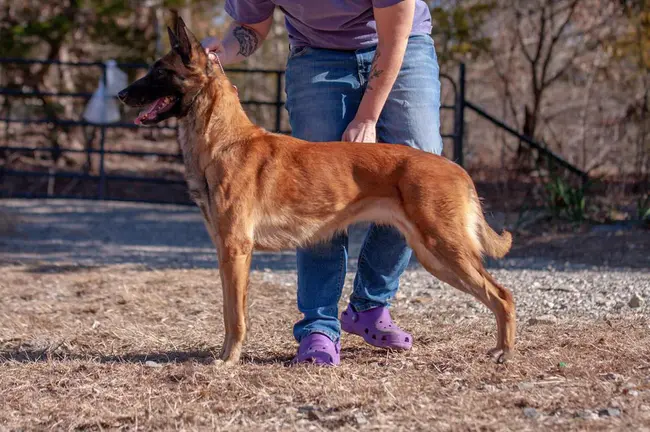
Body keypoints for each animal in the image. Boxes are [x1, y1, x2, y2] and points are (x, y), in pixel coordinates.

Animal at [115, 16, 512, 364]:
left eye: (160, 71)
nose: (120, 94)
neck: (225, 141)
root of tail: (457, 168)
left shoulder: (236, 250)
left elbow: (235, 317)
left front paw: (229, 360)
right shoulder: (226, 252)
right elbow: (229, 311)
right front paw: (227, 355)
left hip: (443, 249)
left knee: (503, 295)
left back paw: (504, 352)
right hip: (431, 253)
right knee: (498, 294)